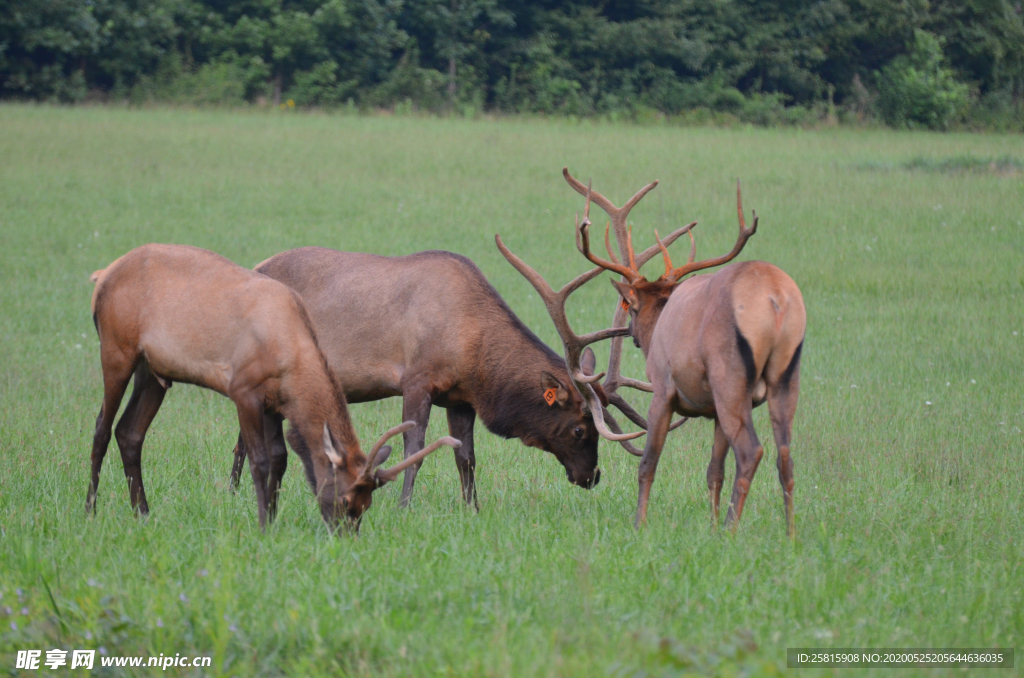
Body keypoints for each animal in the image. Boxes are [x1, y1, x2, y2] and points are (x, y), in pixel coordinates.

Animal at [87, 242, 456, 532]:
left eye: (367, 505)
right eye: (346, 498)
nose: (345, 535)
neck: (290, 356)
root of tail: (101, 275)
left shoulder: (274, 403)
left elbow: (280, 458)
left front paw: (275, 518)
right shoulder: (244, 391)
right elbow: (259, 460)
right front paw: (264, 524)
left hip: (154, 371)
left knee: (129, 432)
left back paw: (143, 514)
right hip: (116, 350)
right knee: (102, 427)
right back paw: (90, 508)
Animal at [565, 168, 802, 536]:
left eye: (631, 307)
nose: (632, 334)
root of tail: (775, 299)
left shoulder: (663, 389)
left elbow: (648, 462)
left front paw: (640, 524)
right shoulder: (714, 411)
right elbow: (714, 471)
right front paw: (711, 526)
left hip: (730, 379)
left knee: (751, 451)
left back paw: (732, 530)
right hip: (786, 376)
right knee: (786, 456)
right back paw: (789, 535)